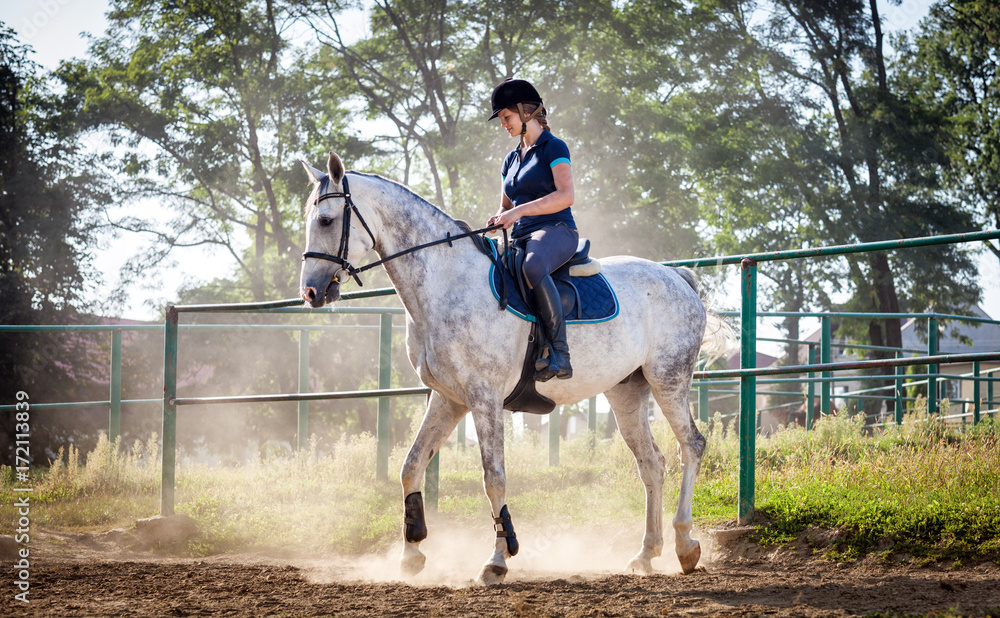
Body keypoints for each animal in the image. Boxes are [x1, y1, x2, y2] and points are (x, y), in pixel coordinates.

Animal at [296, 154, 728, 584]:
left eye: (326, 220)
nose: (311, 293)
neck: (447, 282)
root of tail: (676, 275)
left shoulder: (485, 399)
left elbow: (494, 478)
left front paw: (498, 558)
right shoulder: (449, 399)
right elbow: (412, 465)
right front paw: (412, 552)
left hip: (668, 380)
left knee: (692, 445)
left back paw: (685, 545)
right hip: (626, 392)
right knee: (651, 464)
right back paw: (646, 553)